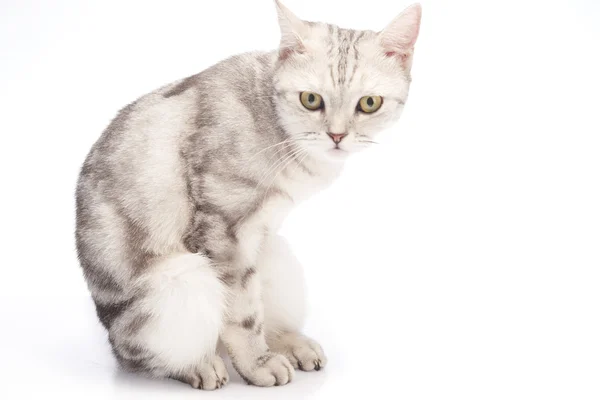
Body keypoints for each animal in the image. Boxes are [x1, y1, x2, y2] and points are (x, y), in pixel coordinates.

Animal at [75, 0, 422, 390]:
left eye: (369, 103)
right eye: (311, 99)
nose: (336, 135)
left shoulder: (254, 239)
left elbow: (254, 310)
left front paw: (268, 354)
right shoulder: (222, 233)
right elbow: (241, 315)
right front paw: (257, 365)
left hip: (277, 256)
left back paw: (292, 345)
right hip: (180, 280)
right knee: (146, 357)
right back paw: (200, 365)